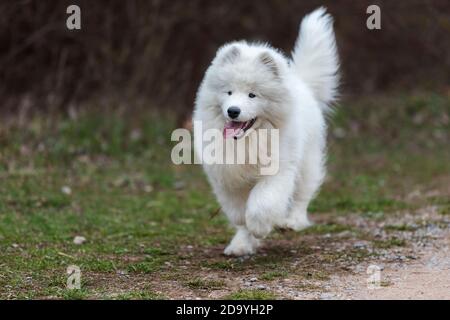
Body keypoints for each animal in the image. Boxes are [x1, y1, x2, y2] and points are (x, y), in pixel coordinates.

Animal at [192, 7, 338, 256]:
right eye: (229, 92)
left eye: (252, 95)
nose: (233, 111)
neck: (249, 140)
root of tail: (301, 83)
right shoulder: (225, 174)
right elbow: (238, 211)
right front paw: (245, 235)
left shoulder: (277, 170)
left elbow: (263, 201)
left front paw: (260, 227)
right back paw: (240, 246)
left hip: (307, 162)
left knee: (302, 195)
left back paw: (291, 222)